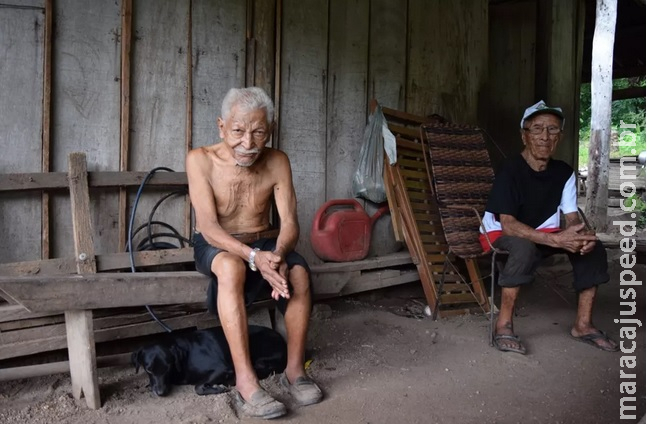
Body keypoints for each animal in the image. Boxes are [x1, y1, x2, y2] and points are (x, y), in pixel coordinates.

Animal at [132, 324, 286, 398]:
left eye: (168, 367)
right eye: (148, 369)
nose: (161, 393)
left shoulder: (222, 368)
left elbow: (198, 387)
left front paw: (218, 388)